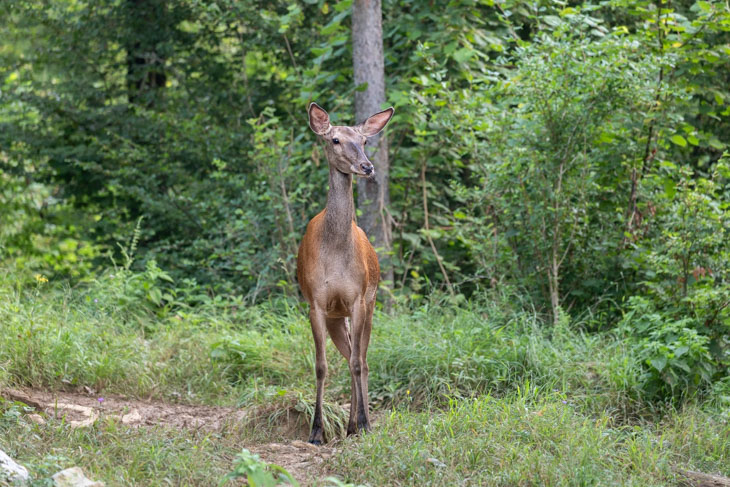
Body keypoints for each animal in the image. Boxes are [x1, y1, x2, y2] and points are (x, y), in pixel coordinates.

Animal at [298, 103, 396, 446]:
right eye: (335, 140)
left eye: (364, 141)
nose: (367, 167)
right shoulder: (316, 303)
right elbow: (321, 365)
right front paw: (316, 431)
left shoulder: (357, 299)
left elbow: (357, 363)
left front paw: (365, 424)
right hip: (335, 316)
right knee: (348, 354)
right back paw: (351, 424)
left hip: (371, 302)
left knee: (361, 360)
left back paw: (359, 423)